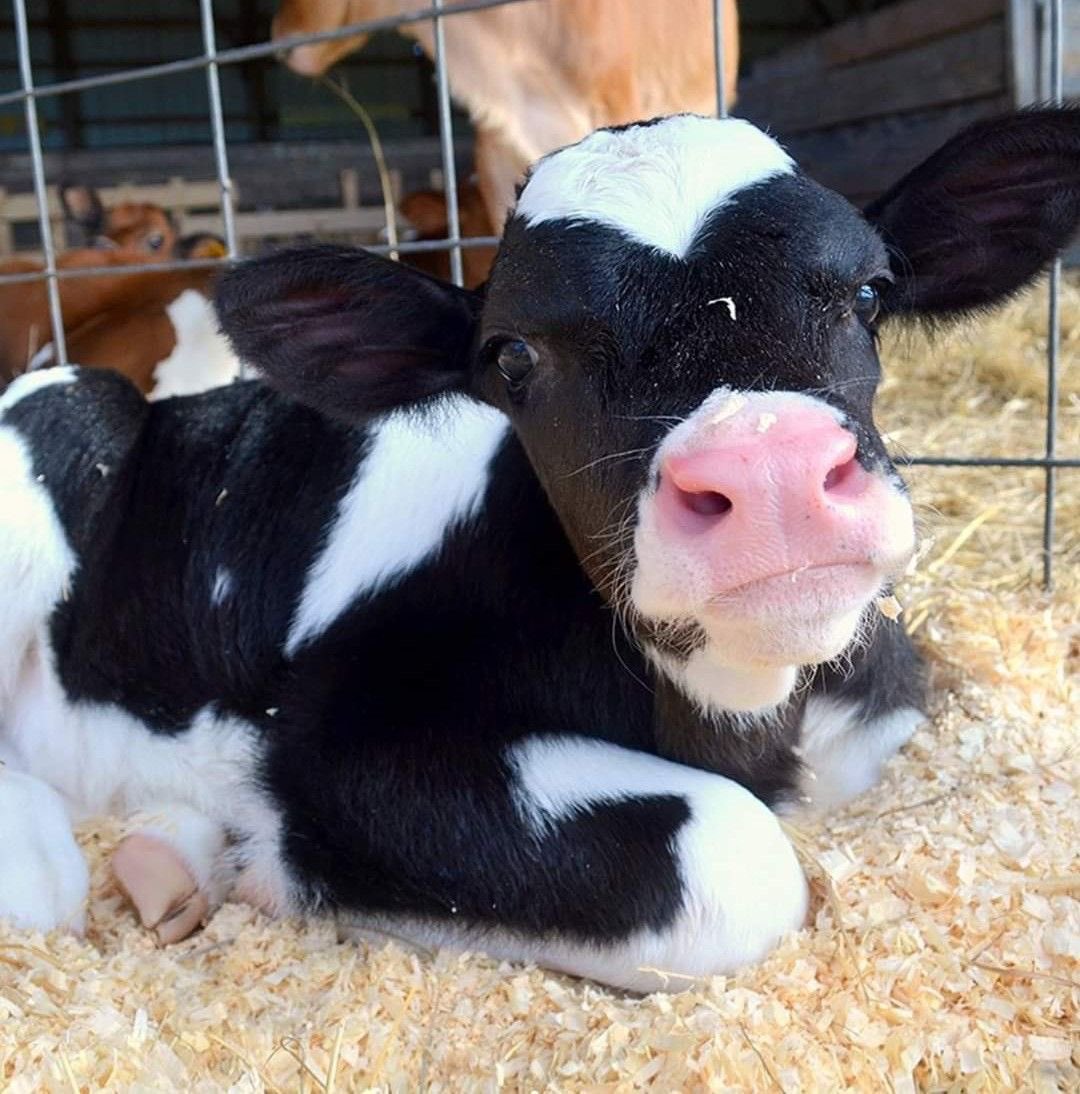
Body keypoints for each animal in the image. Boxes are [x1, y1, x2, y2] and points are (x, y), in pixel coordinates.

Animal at [1, 109, 1077, 992]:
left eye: (868, 293)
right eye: (513, 356)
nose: (769, 469)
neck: (738, 722)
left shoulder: (878, 694)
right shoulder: (331, 741)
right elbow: (738, 858)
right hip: (67, 414)